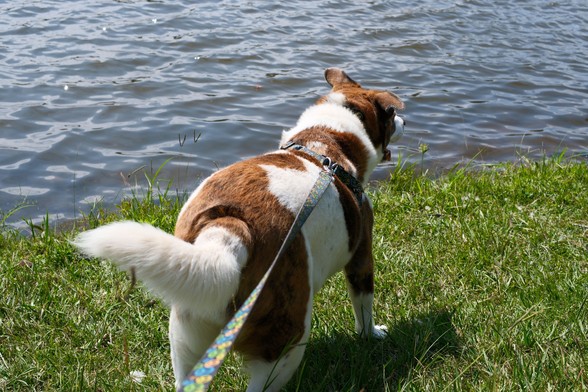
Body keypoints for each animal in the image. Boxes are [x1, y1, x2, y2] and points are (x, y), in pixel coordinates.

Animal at [73, 69, 404, 390]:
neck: (324, 141)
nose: (403, 119)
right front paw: (371, 334)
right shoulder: (362, 256)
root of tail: (230, 230)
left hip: (187, 330)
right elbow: (364, 305)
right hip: (286, 339)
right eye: (390, 115)